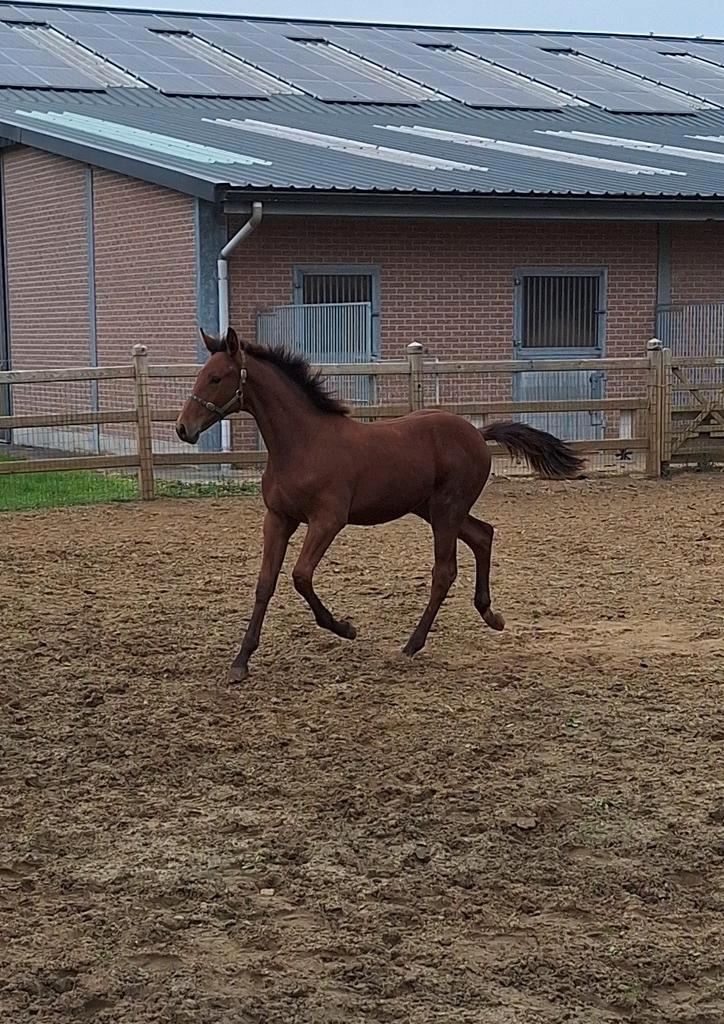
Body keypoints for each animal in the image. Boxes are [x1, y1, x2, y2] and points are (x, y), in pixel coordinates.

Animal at [176, 328, 584, 682]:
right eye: (202, 376)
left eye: (216, 378)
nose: (183, 429)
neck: (303, 444)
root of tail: (477, 433)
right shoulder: (278, 518)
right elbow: (265, 584)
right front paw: (240, 661)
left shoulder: (328, 520)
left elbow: (301, 576)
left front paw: (345, 628)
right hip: (433, 509)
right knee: (483, 535)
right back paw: (490, 616)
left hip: (446, 510)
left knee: (444, 571)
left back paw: (412, 645)